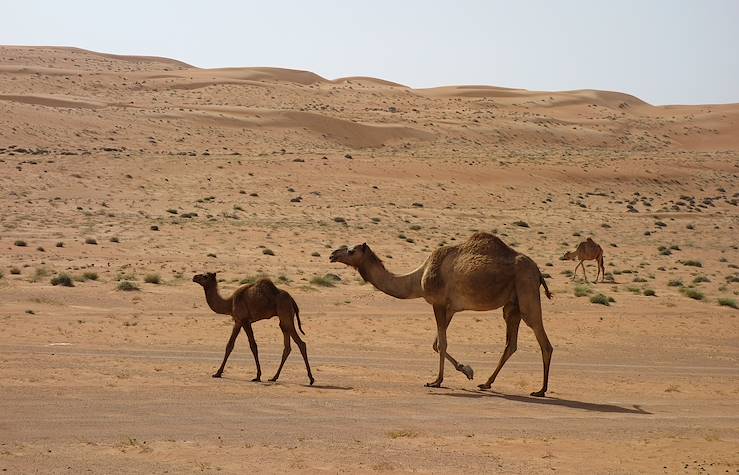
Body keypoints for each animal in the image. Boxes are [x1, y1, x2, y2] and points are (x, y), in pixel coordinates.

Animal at [330, 233, 556, 398]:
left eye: (351, 250)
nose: (332, 254)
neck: (417, 279)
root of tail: (538, 271)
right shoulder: (450, 308)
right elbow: (436, 344)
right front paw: (467, 370)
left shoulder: (438, 303)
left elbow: (442, 344)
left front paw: (436, 381)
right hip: (512, 305)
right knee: (511, 344)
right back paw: (486, 383)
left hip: (526, 292)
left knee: (544, 342)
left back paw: (540, 390)